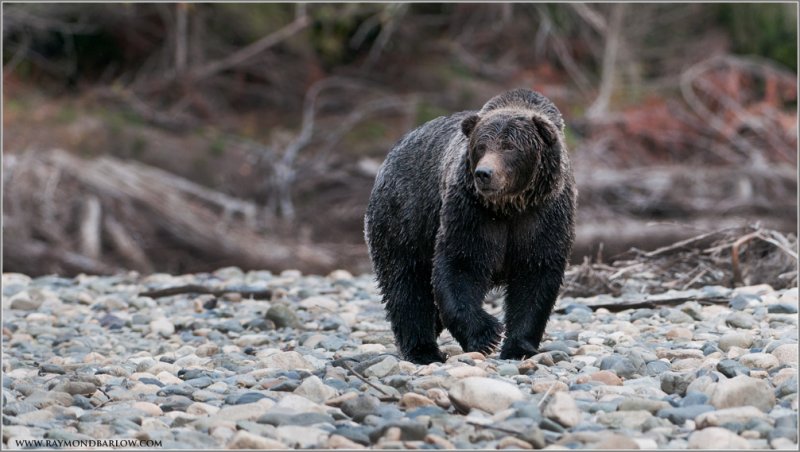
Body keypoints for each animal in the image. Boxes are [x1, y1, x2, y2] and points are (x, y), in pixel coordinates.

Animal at [362, 88, 576, 364]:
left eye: (509, 146)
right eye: (480, 146)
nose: (484, 173)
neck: (509, 206)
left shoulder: (543, 215)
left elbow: (535, 273)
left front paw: (518, 347)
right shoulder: (471, 211)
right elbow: (460, 263)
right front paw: (487, 335)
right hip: (405, 217)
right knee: (405, 283)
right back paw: (423, 350)